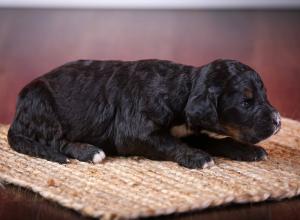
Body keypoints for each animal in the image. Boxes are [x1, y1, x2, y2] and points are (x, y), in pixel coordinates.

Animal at [7, 58, 282, 168]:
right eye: (246, 102)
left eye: (264, 95)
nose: (279, 122)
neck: (183, 88)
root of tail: (17, 116)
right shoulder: (134, 131)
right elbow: (169, 143)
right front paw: (197, 157)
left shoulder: (189, 131)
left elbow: (216, 140)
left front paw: (247, 151)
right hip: (41, 102)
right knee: (55, 140)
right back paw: (89, 151)